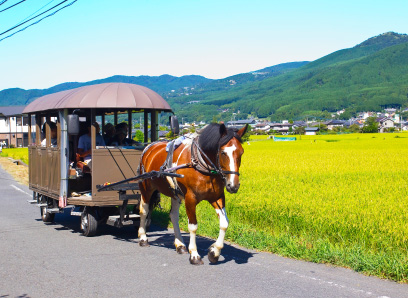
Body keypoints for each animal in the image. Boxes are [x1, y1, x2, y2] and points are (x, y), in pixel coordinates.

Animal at [137, 123, 247, 266]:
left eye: (241, 152)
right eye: (223, 152)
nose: (233, 186)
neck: (201, 164)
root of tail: (149, 146)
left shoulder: (217, 197)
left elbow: (224, 223)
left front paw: (214, 252)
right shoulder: (190, 198)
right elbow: (193, 226)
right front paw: (194, 255)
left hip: (175, 192)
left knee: (173, 215)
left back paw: (180, 245)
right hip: (146, 187)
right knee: (144, 211)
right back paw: (143, 238)